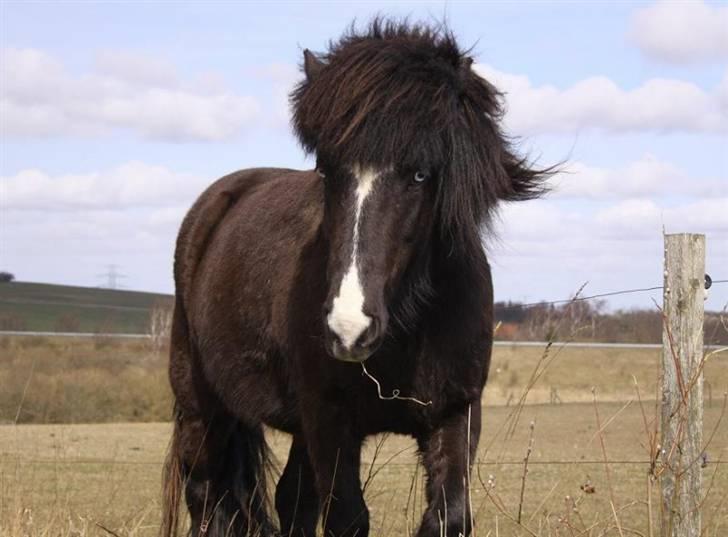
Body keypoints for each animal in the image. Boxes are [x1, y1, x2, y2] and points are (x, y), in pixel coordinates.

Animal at [159, 18, 544, 532]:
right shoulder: (330, 419)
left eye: (420, 175)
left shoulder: (456, 411)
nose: (349, 329)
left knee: (290, 500)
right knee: (206, 498)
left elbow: (449, 515)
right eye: (326, 171)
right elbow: (348, 518)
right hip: (201, 407)